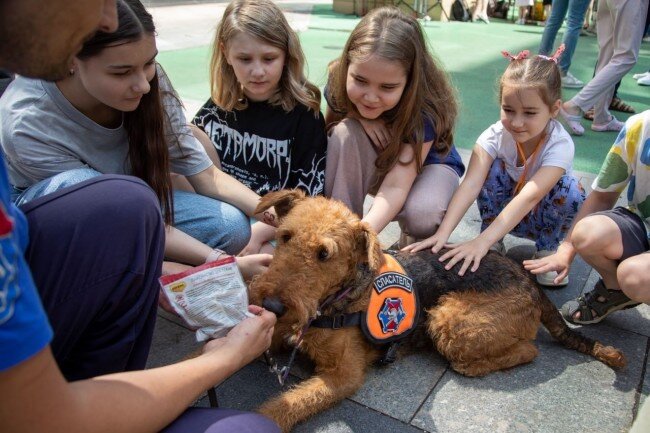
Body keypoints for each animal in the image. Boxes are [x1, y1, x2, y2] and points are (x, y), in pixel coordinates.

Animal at [248, 190, 624, 432]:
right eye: (285, 236)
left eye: (324, 254)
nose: (271, 305)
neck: (335, 299)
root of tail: (528, 280)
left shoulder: (343, 375)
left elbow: (286, 404)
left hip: (450, 320)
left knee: (526, 351)